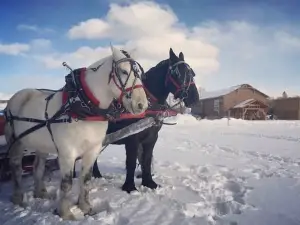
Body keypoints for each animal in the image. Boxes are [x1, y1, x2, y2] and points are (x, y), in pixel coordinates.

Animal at [2, 45, 148, 220]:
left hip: (41, 145)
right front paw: (65, 213)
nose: (142, 104)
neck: (83, 106)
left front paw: (85, 207)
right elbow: (67, 184)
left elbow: (85, 180)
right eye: (124, 71)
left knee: (38, 167)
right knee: (16, 166)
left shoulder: (93, 150)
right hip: (16, 142)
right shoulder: (67, 154)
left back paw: (41, 193)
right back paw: (18, 198)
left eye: (139, 73)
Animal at [73, 48, 199, 193]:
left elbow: (146, 160)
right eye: (177, 73)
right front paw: (129, 187)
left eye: (192, 73)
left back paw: (96, 174)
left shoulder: (152, 137)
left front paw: (149, 182)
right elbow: (131, 162)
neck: (149, 105)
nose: (195, 98)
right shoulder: (132, 138)